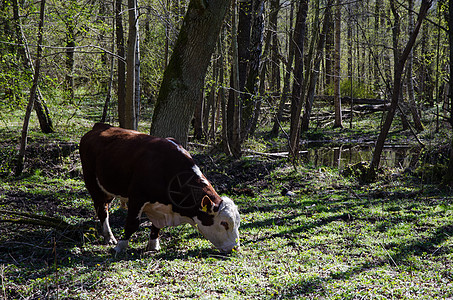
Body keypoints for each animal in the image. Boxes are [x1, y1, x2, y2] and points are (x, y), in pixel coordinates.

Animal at [79, 123, 240, 253]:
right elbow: (132, 223)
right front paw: (120, 246)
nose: (234, 248)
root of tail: (99, 126)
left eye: (237, 223)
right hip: (92, 183)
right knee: (102, 209)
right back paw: (109, 237)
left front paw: (154, 244)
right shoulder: (137, 197)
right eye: (224, 223)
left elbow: (156, 226)